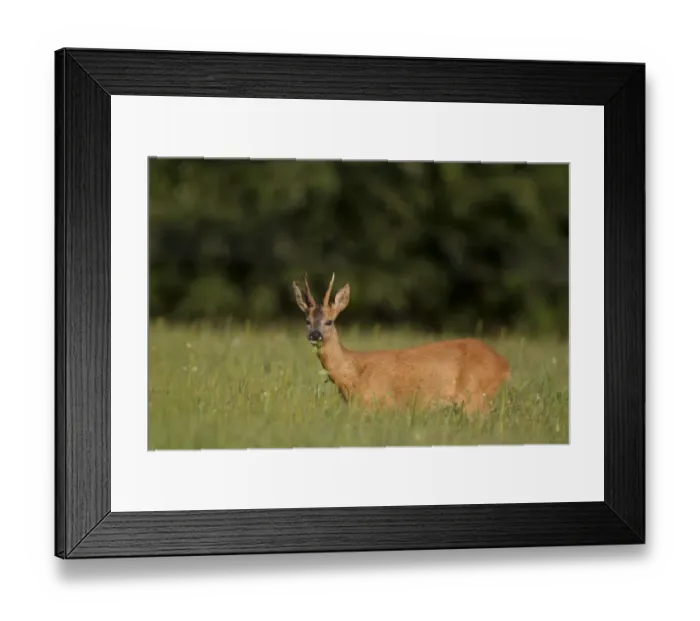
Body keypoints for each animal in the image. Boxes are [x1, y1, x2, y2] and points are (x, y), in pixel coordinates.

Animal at [292, 273, 511, 415]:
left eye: (330, 321)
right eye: (307, 321)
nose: (315, 335)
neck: (352, 373)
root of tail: (504, 363)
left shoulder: (380, 404)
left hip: (476, 396)